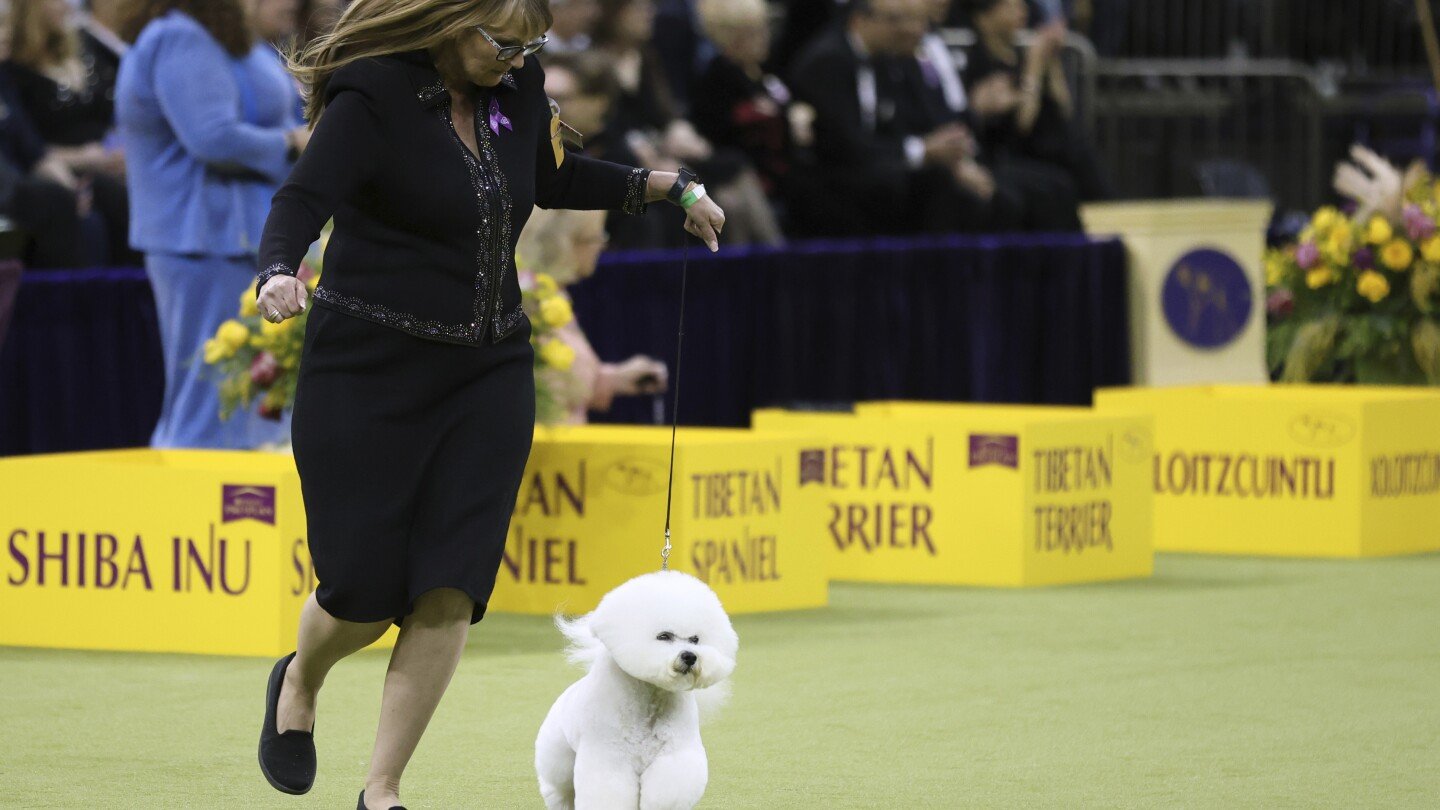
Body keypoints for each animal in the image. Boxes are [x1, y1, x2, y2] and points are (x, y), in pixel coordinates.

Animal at [541, 567, 743, 807]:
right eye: (664, 636)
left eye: (695, 639)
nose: (690, 656)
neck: (650, 700)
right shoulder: (609, 757)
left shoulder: (673, 754)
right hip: (559, 753)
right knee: (559, 787)